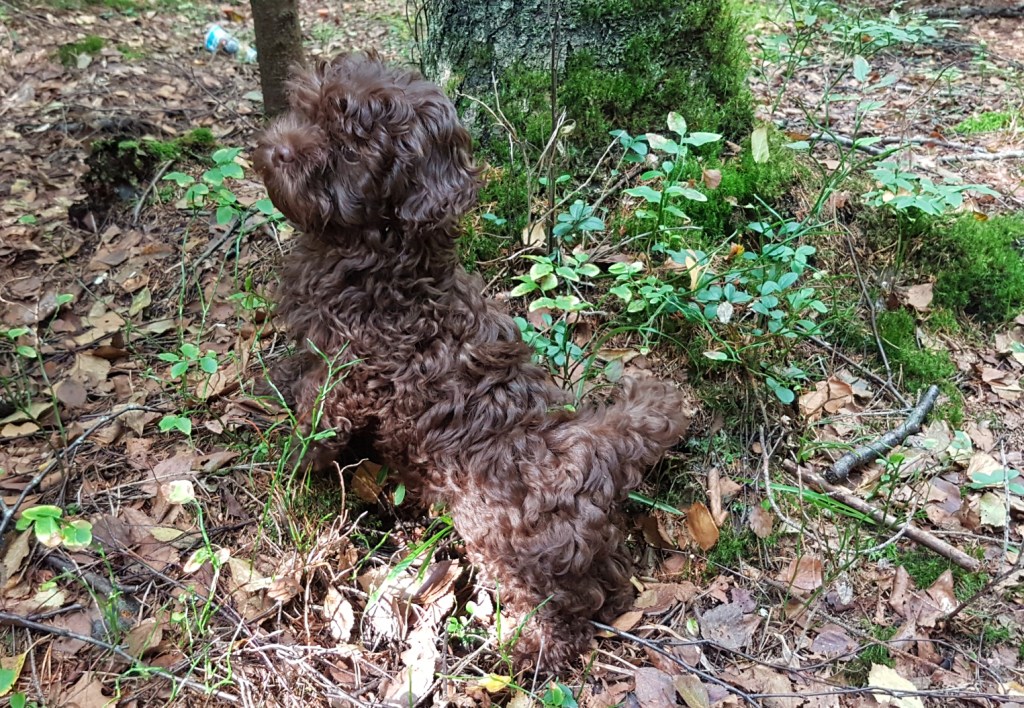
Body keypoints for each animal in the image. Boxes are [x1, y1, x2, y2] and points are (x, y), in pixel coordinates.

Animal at [254, 51, 692, 670]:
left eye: (351, 147)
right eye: (309, 112)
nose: (279, 149)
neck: (382, 253)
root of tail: (593, 444)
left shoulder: (352, 374)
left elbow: (317, 422)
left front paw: (288, 466)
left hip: (498, 527)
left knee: (560, 613)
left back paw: (519, 649)